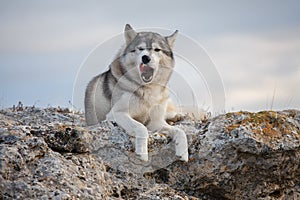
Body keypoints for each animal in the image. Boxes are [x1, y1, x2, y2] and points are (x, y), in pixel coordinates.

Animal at [84, 24, 188, 162]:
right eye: (140, 49)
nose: (146, 58)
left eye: (157, 49)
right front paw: (142, 153)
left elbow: (180, 132)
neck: (147, 90)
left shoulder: (156, 122)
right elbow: (141, 127)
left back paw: (178, 116)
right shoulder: (117, 114)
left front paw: (183, 154)